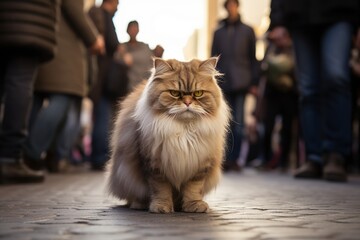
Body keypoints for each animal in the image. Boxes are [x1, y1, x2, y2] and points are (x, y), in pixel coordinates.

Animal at [107, 56, 231, 214]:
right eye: (174, 93)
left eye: (198, 93)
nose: (187, 103)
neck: (184, 130)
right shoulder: (155, 165)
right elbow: (161, 190)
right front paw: (161, 207)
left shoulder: (199, 166)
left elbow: (193, 189)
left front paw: (194, 205)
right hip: (125, 175)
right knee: (134, 196)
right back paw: (140, 204)